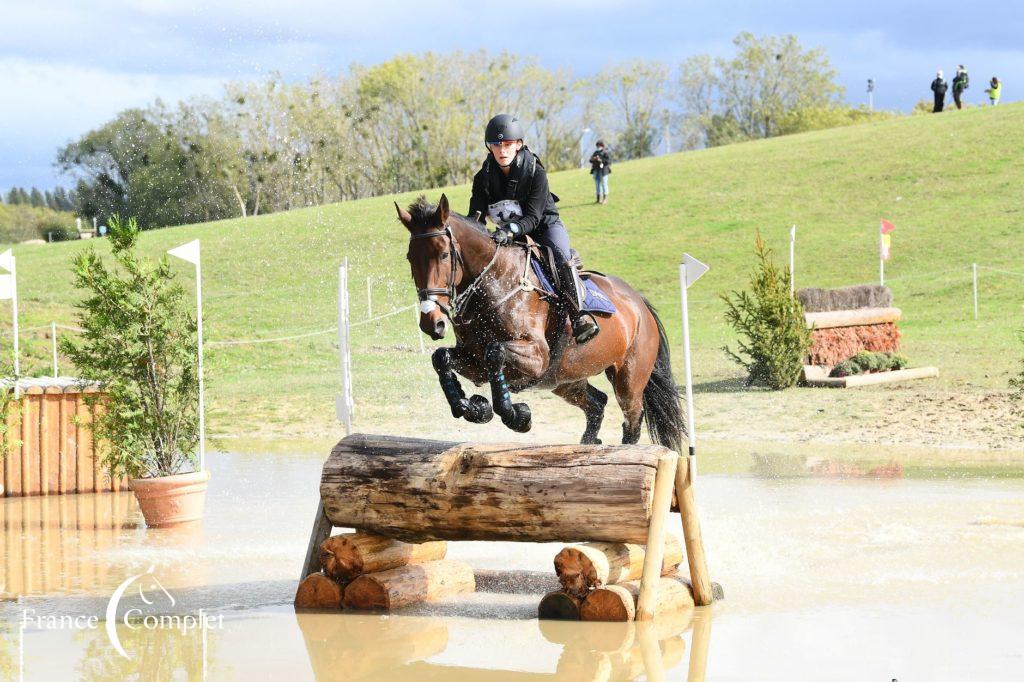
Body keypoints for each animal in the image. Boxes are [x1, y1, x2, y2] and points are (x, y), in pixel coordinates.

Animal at [395, 191, 684, 448]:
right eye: (410, 257)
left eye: (444, 255)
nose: (431, 322)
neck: (493, 284)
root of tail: (639, 303)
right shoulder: (473, 360)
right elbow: (442, 357)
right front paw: (473, 407)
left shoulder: (537, 356)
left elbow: (495, 352)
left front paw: (517, 415)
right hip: (564, 381)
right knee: (597, 403)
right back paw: (588, 443)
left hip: (628, 379)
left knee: (631, 419)